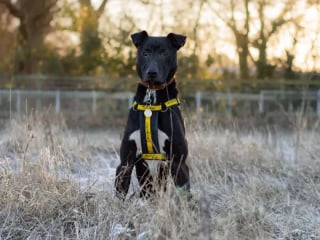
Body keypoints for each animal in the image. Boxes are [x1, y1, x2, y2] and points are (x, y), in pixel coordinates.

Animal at [115, 30, 190, 199]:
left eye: (164, 53)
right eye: (145, 53)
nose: (152, 72)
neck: (152, 97)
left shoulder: (179, 162)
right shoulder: (125, 163)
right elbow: (120, 194)